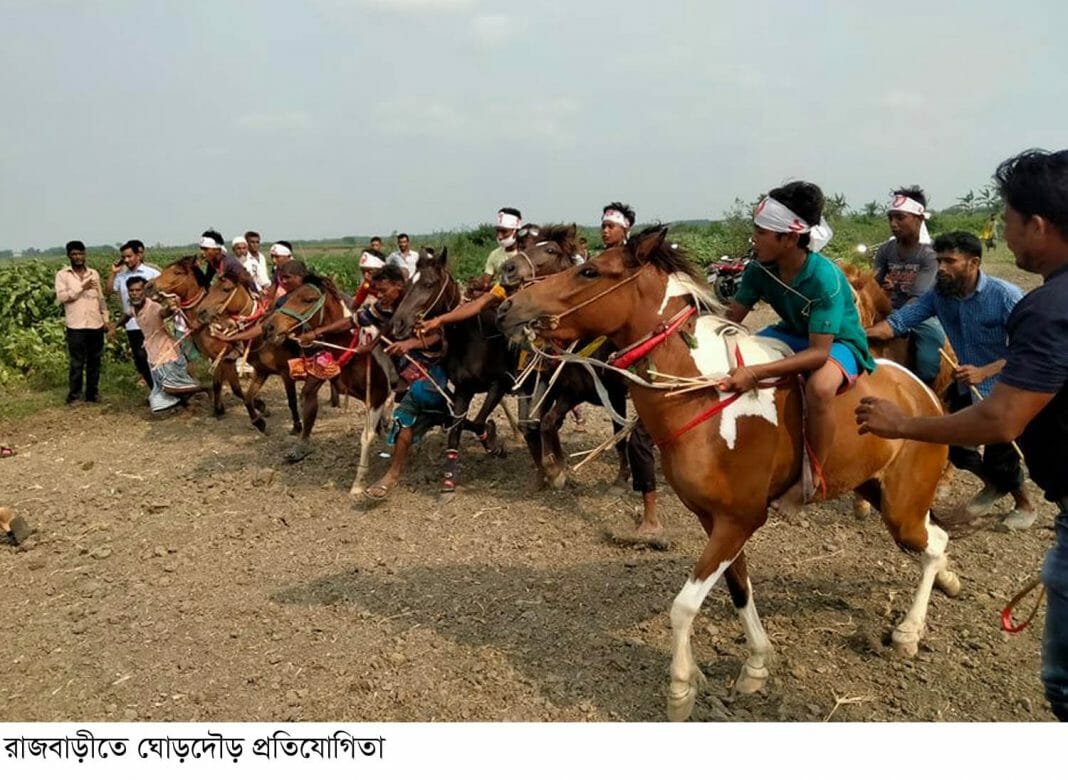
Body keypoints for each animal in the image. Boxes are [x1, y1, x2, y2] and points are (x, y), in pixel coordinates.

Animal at [145, 255, 255, 416]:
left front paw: (260, 406)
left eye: (177, 272)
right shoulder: (216, 358)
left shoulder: (224, 357)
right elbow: (217, 384)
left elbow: (233, 388)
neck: (204, 325)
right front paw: (218, 409)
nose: (149, 286)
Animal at [260, 270, 395, 495]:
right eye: (288, 297)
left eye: (308, 299)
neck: (355, 349)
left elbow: (366, 435)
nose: (268, 327)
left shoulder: (376, 396)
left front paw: (358, 484)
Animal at [497, 223, 961, 718]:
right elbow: (740, 588)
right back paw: (948, 582)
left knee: (933, 544)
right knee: (937, 539)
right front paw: (756, 665)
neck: (701, 395)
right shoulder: (714, 519)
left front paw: (681, 688)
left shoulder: (740, 519)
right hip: (877, 490)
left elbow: (683, 607)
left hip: (901, 507)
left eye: (588, 270)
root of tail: (921, 392)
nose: (507, 305)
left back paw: (908, 632)